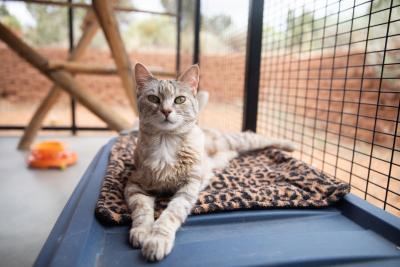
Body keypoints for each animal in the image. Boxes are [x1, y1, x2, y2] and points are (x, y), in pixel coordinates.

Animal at [123, 63, 296, 262]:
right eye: (153, 98)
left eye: (180, 99)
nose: (166, 111)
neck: (165, 143)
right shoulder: (135, 184)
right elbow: (142, 209)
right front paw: (142, 231)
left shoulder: (189, 187)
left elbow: (172, 213)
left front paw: (157, 239)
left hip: (238, 140)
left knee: (259, 137)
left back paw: (290, 144)